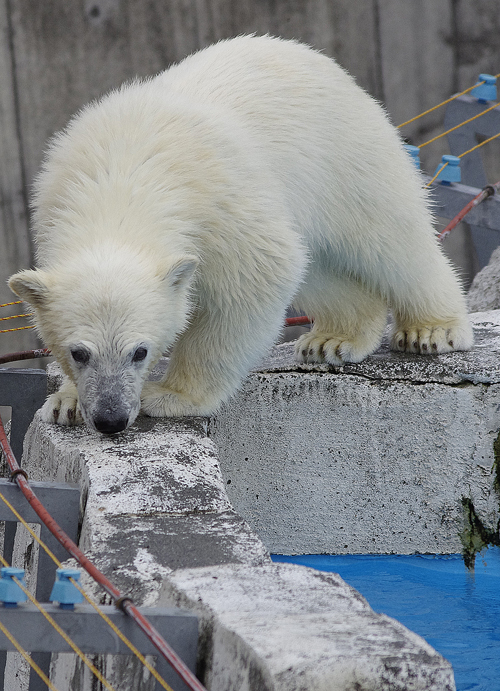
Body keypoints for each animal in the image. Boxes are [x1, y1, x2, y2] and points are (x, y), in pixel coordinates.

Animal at [9, 36, 474, 432]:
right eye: (79, 352)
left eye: (140, 351)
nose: (110, 419)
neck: (122, 176)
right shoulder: (53, 202)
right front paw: (65, 402)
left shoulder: (219, 207)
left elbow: (256, 278)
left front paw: (171, 395)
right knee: (317, 267)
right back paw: (333, 338)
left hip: (347, 155)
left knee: (390, 237)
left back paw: (431, 331)